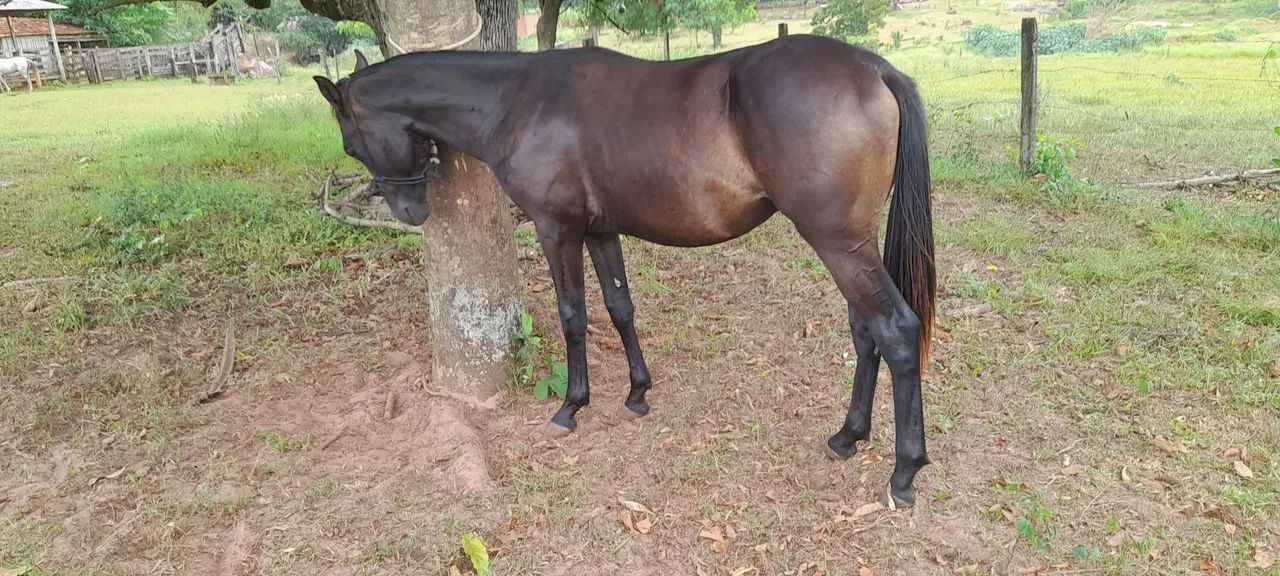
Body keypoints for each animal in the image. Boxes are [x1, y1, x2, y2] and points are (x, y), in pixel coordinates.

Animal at [313, 35, 936, 507]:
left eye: (350, 145)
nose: (411, 212)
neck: (518, 101)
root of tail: (875, 69)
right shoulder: (600, 231)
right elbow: (619, 307)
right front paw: (637, 391)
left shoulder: (557, 230)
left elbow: (573, 315)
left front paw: (572, 405)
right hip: (850, 244)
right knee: (865, 332)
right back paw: (849, 435)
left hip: (838, 244)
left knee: (897, 331)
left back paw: (905, 471)